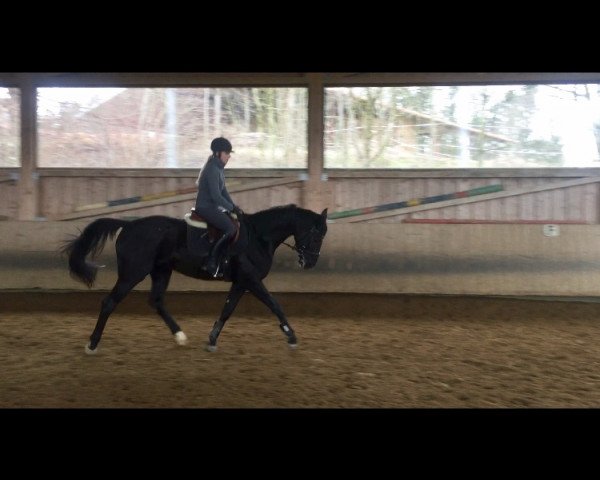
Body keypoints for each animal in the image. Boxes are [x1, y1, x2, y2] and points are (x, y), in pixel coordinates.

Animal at [61, 204, 328, 354]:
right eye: (317, 235)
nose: (309, 263)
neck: (257, 237)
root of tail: (128, 225)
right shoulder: (251, 279)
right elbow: (274, 304)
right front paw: (291, 336)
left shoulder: (240, 282)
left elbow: (227, 310)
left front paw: (211, 340)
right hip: (133, 273)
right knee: (109, 302)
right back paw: (92, 344)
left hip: (161, 270)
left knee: (156, 301)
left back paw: (180, 336)